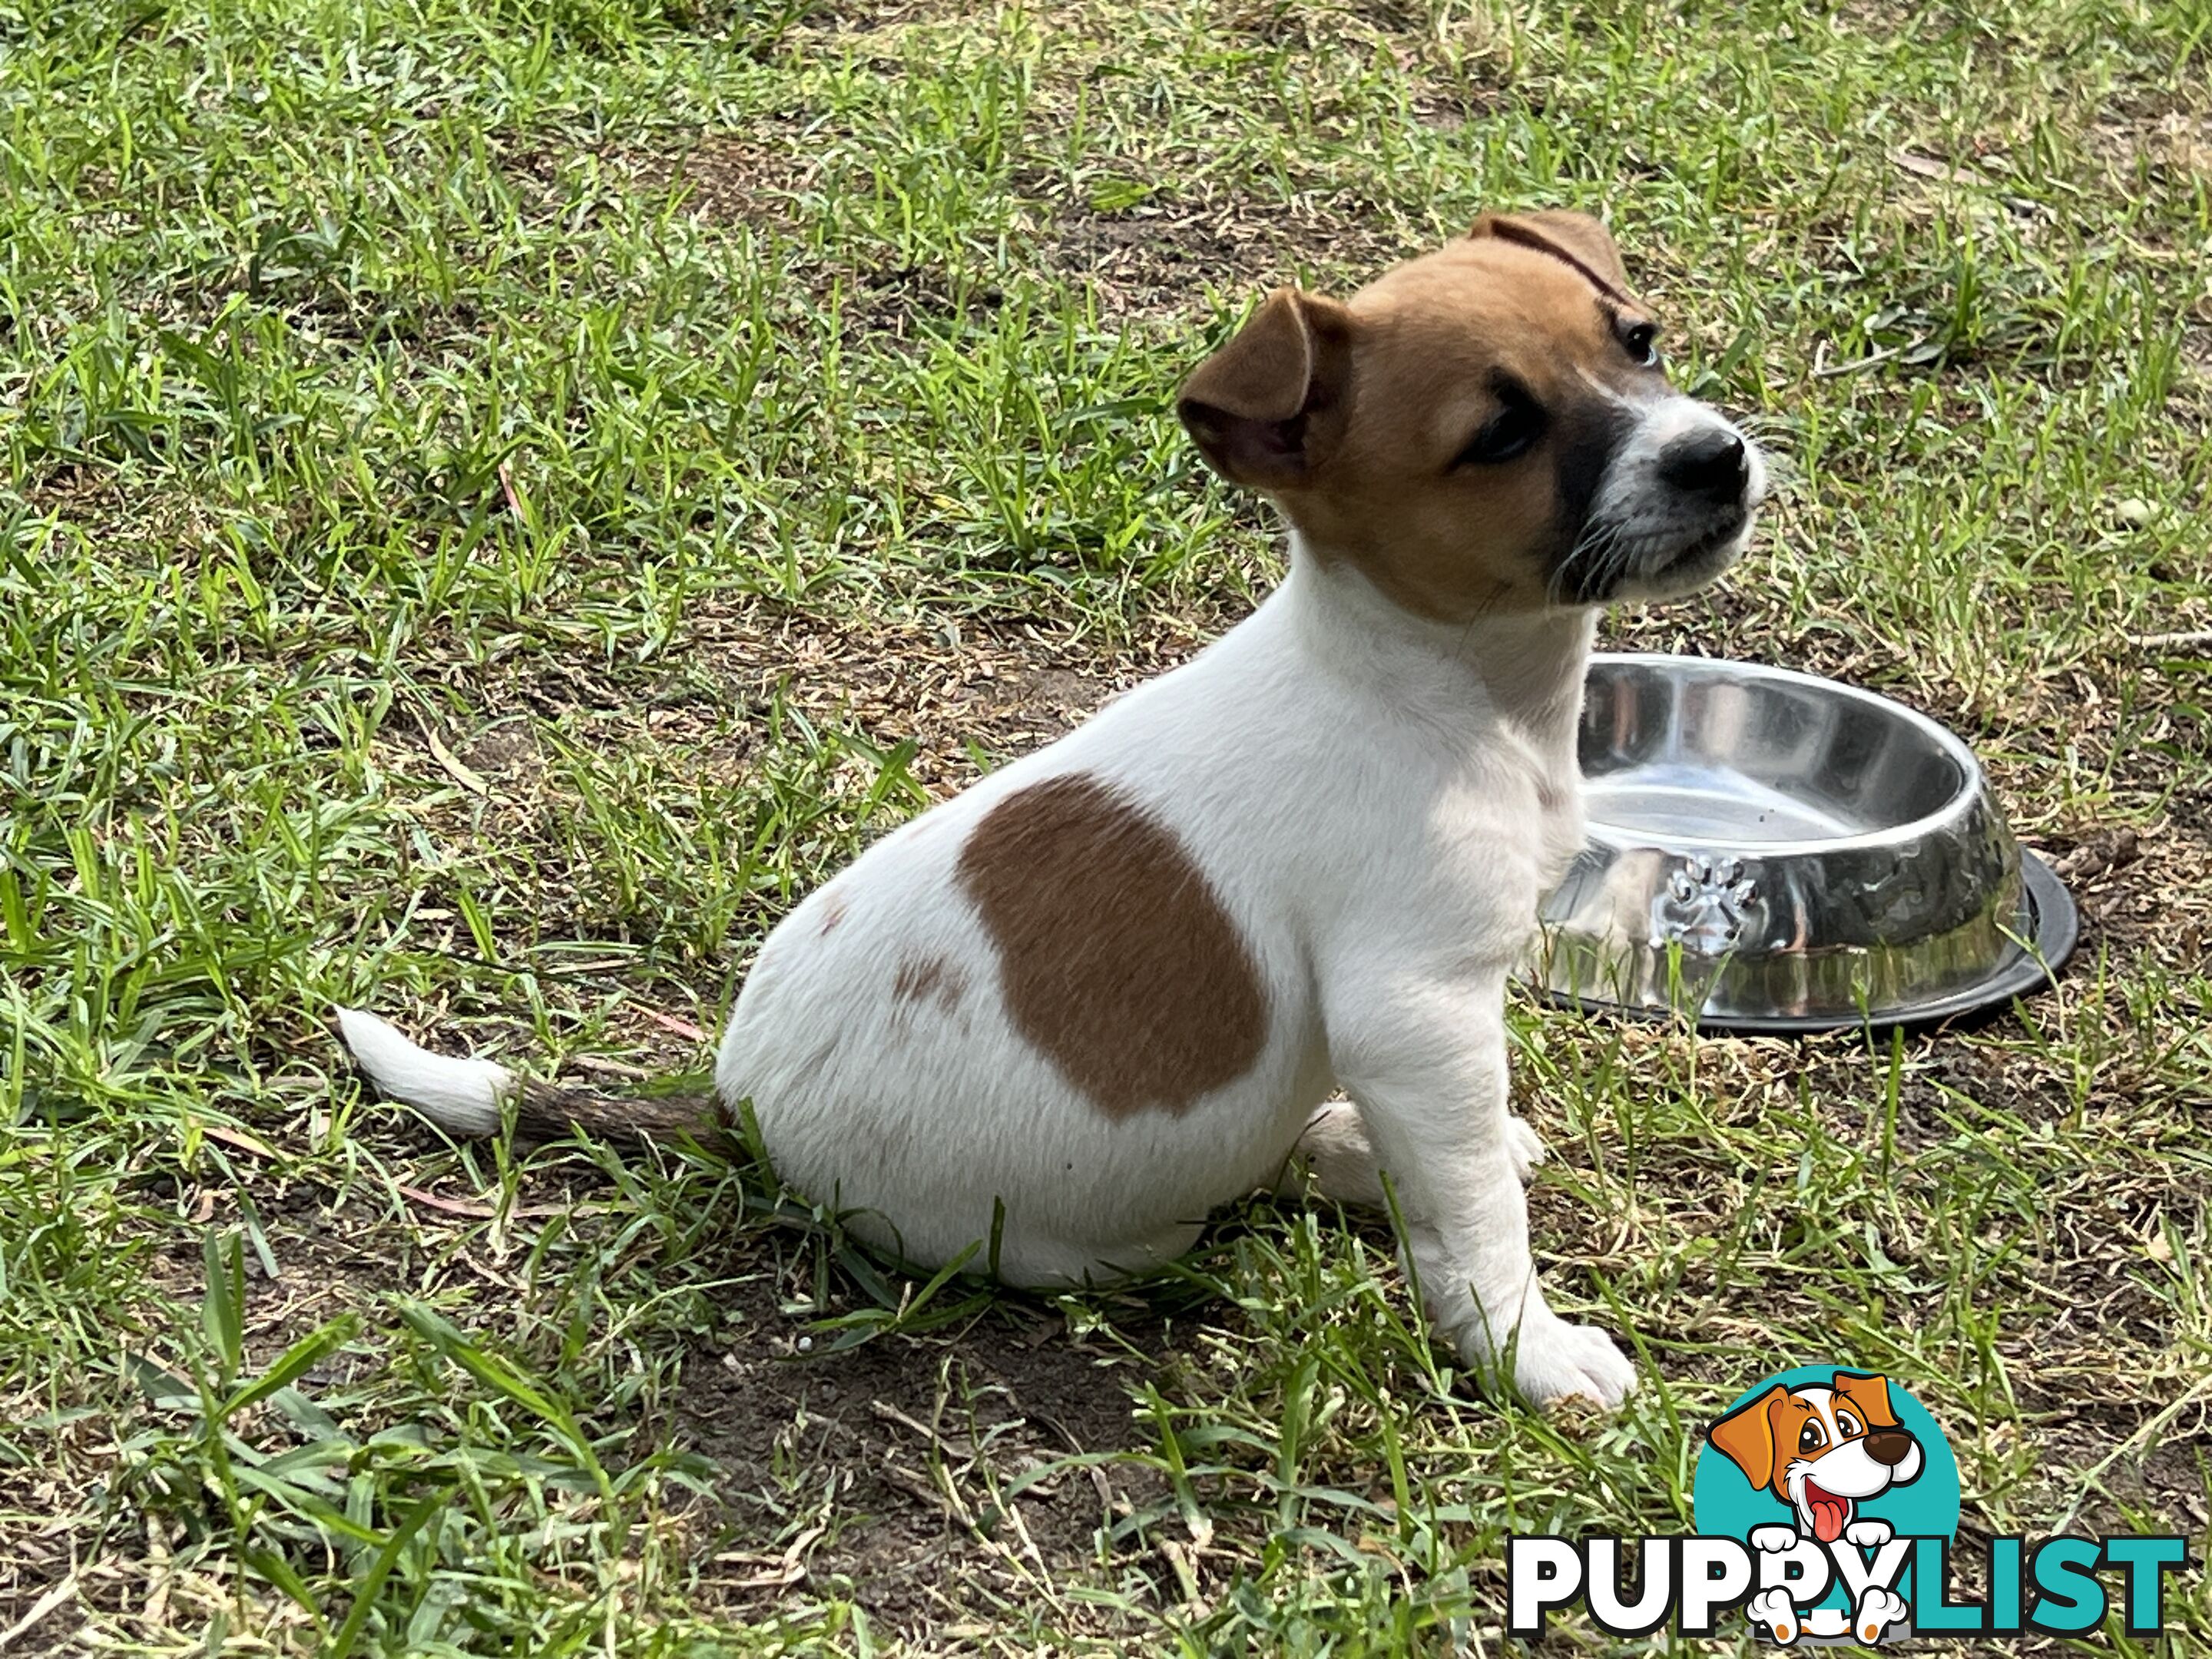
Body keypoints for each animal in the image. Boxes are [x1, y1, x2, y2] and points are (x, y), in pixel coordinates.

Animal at [340, 204, 1760, 1406]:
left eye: (1637, 341)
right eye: (1501, 436)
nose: (1718, 458)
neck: (1435, 688)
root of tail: (739, 1106)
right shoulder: (1417, 1007)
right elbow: (1474, 1225)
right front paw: (1530, 1353)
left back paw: (1345, 1146)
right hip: (1074, 1235)